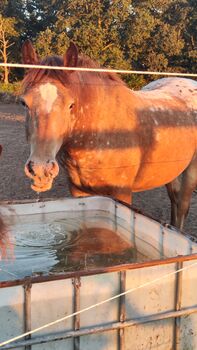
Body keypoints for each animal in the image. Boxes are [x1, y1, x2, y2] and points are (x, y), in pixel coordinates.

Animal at [20, 40, 197, 230]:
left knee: (182, 206)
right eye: (24, 103)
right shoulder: (77, 190)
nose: (40, 169)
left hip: (191, 171)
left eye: (71, 105)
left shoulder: (121, 192)